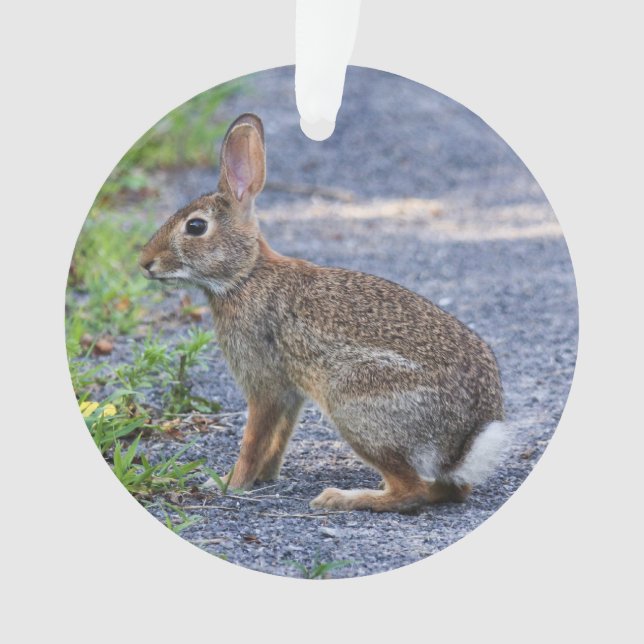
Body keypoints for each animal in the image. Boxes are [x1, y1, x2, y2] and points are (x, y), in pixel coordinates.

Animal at [139, 113, 506, 513]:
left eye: (195, 226)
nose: (145, 263)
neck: (244, 275)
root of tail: (466, 437)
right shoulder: (290, 393)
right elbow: (277, 439)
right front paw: (262, 478)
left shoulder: (265, 384)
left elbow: (253, 440)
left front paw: (228, 484)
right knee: (451, 490)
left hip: (354, 404)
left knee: (410, 491)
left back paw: (340, 498)